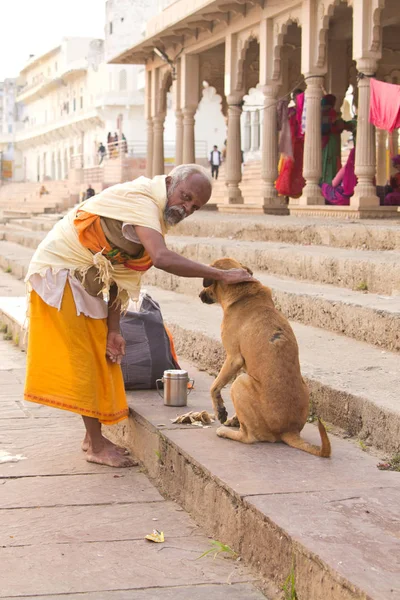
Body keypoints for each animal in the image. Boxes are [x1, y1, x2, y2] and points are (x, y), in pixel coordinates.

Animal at [198, 255, 332, 458]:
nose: (200, 295)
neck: (244, 293)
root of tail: (289, 431)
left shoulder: (233, 358)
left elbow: (214, 386)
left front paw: (220, 410)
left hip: (240, 383)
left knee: (249, 436)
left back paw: (226, 431)